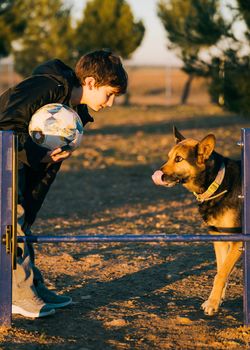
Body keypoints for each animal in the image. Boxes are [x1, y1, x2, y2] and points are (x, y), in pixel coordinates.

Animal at [151, 127, 243, 316]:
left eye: (179, 159)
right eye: (169, 157)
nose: (159, 175)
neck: (217, 183)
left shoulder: (238, 240)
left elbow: (221, 274)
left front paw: (212, 303)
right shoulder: (219, 239)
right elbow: (221, 270)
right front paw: (216, 299)